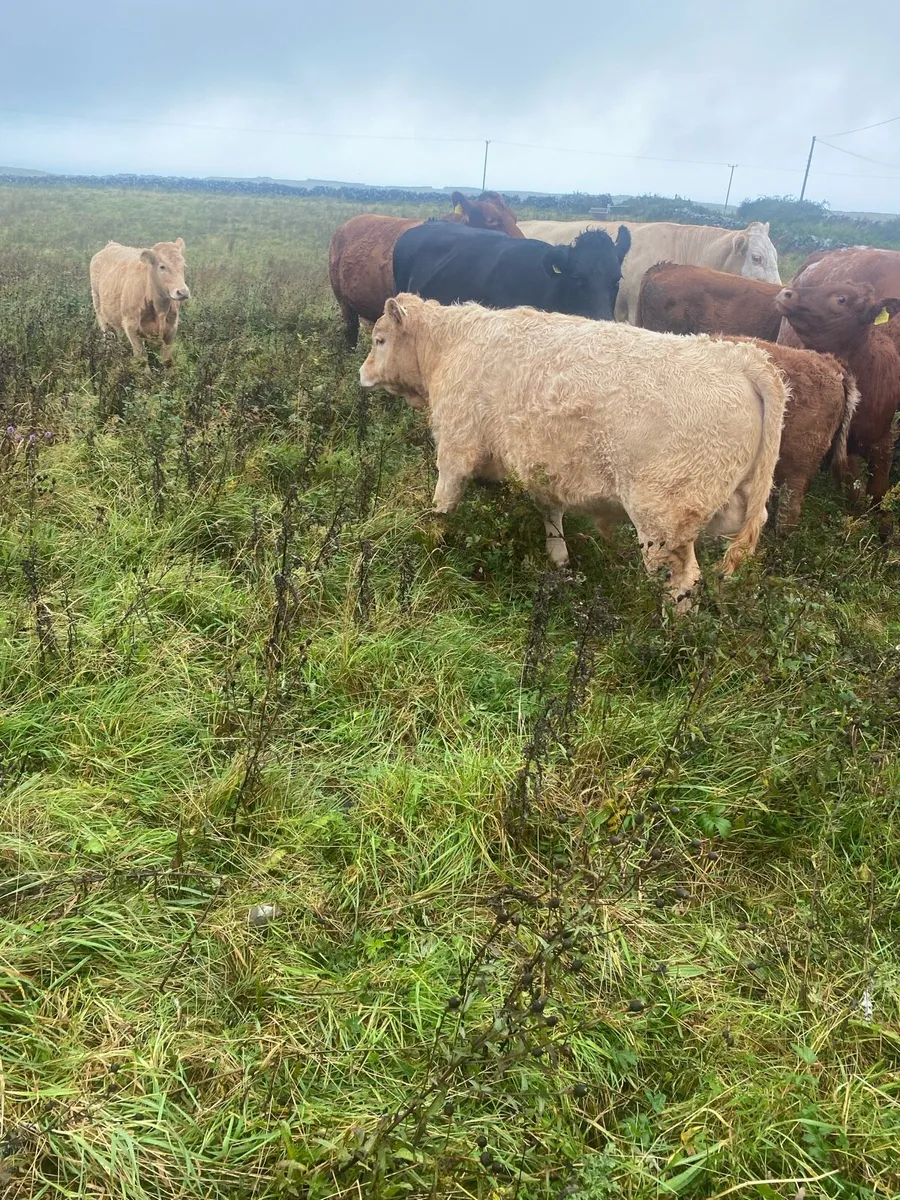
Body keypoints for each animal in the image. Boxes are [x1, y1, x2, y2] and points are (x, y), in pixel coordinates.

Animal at [359, 294, 787, 612]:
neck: (451, 346)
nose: (361, 373)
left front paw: (428, 544)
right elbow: (551, 514)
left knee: (681, 583)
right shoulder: (542, 465)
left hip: (664, 520)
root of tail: (739, 358)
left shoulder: (455, 448)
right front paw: (559, 561)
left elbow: (441, 507)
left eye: (380, 340)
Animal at [776, 282, 900, 524]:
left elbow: (877, 493)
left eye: (841, 299)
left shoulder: (884, 443)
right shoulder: (846, 446)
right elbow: (853, 489)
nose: (786, 293)